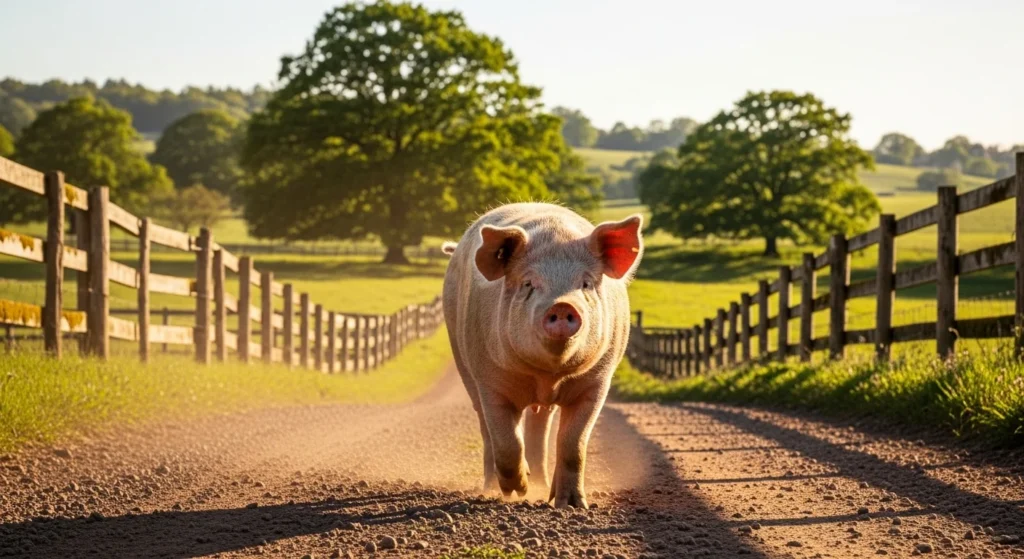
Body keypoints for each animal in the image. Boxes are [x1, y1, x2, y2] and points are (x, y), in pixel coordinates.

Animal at [442, 202, 643, 508]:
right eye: (529, 283)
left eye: (585, 284)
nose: (562, 305)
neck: (546, 376)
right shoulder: (491, 381)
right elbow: (507, 443)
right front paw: (517, 491)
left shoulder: (597, 383)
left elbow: (573, 444)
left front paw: (572, 505)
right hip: (462, 358)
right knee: (487, 430)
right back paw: (493, 489)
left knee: (541, 427)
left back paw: (542, 484)